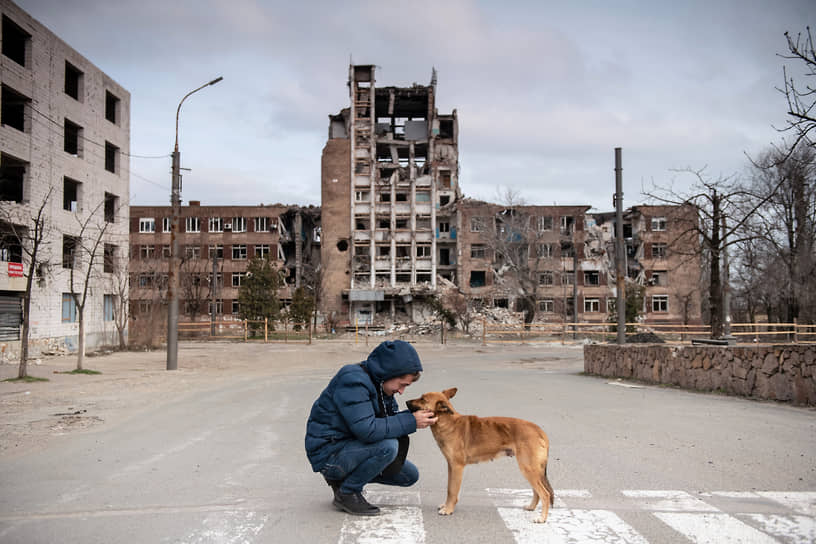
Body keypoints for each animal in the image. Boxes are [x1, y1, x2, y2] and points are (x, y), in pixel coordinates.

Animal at [406, 386, 556, 524]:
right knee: (537, 492)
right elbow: (449, 488)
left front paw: (448, 509)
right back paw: (531, 507)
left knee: (545, 494)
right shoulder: (451, 466)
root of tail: (539, 430)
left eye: (423, 399)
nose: (406, 401)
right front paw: (447, 505)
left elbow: (453, 490)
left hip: (528, 469)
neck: (448, 422)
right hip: (532, 470)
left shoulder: (457, 467)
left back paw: (542, 518)